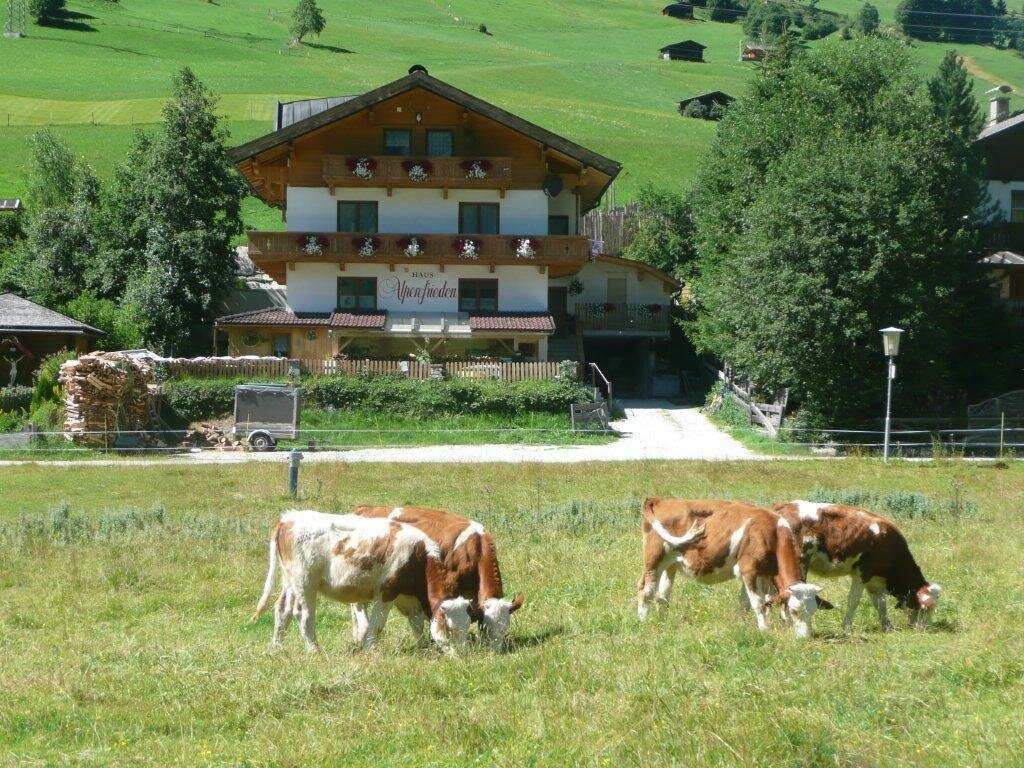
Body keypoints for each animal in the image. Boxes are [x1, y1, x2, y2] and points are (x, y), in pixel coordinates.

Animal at [249, 512, 473, 655]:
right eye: (450, 629)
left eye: (467, 625)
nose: (460, 656)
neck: (418, 556)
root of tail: (287, 519)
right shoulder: (387, 592)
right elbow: (377, 625)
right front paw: (368, 649)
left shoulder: (407, 597)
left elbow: (416, 623)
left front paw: (422, 648)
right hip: (305, 581)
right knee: (303, 615)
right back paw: (315, 651)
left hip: (290, 581)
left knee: (282, 610)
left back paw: (276, 647)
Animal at [354, 507, 528, 651]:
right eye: (485, 628)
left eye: (505, 628)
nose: (495, 652)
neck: (473, 549)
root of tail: (364, 508)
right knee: (358, 605)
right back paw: (361, 635)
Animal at [634, 499, 827, 638]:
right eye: (794, 611)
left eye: (813, 611)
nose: (805, 637)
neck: (772, 533)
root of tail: (661, 500)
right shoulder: (750, 569)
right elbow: (758, 603)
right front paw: (764, 630)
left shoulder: (762, 575)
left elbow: (748, 603)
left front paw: (743, 625)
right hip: (653, 562)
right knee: (646, 591)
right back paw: (643, 621)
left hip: (671, 565)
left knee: (662, 596)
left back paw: (662, 622)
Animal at [770, 501, 937, 634]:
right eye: (925, 609)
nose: (924, 628)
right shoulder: (863, 572)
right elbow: (854, 601)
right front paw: (846, 627)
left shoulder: (876, 579)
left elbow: (880, 602)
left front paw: (887, 626)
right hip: (799, 563)